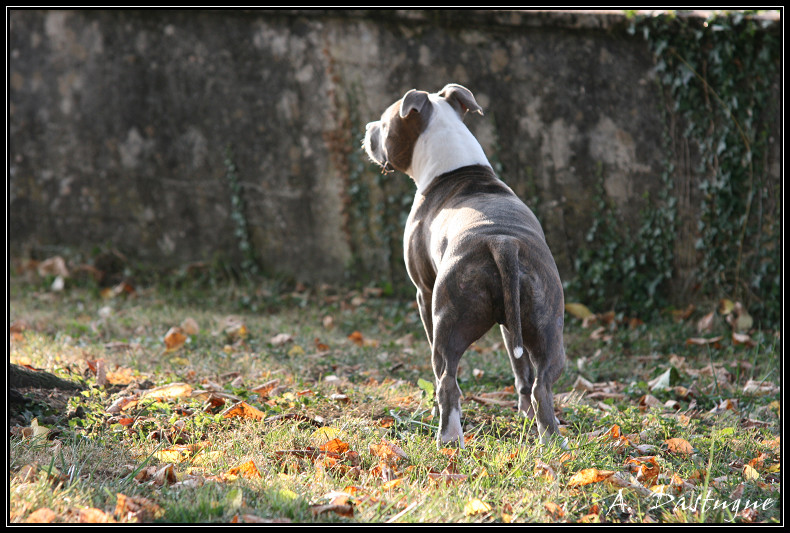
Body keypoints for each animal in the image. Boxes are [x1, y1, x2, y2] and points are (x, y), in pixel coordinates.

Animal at [366, 84, 568, 448]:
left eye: (385, 124)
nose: (367, 128)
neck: (457, 168)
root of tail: (503, 242)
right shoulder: (510, 326)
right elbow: (520, 370)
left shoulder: (423, 292)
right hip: (548, 327)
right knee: (541, 386)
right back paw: (552, 444)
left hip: (449, 321)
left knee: (447, 378)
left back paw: (448, 437)